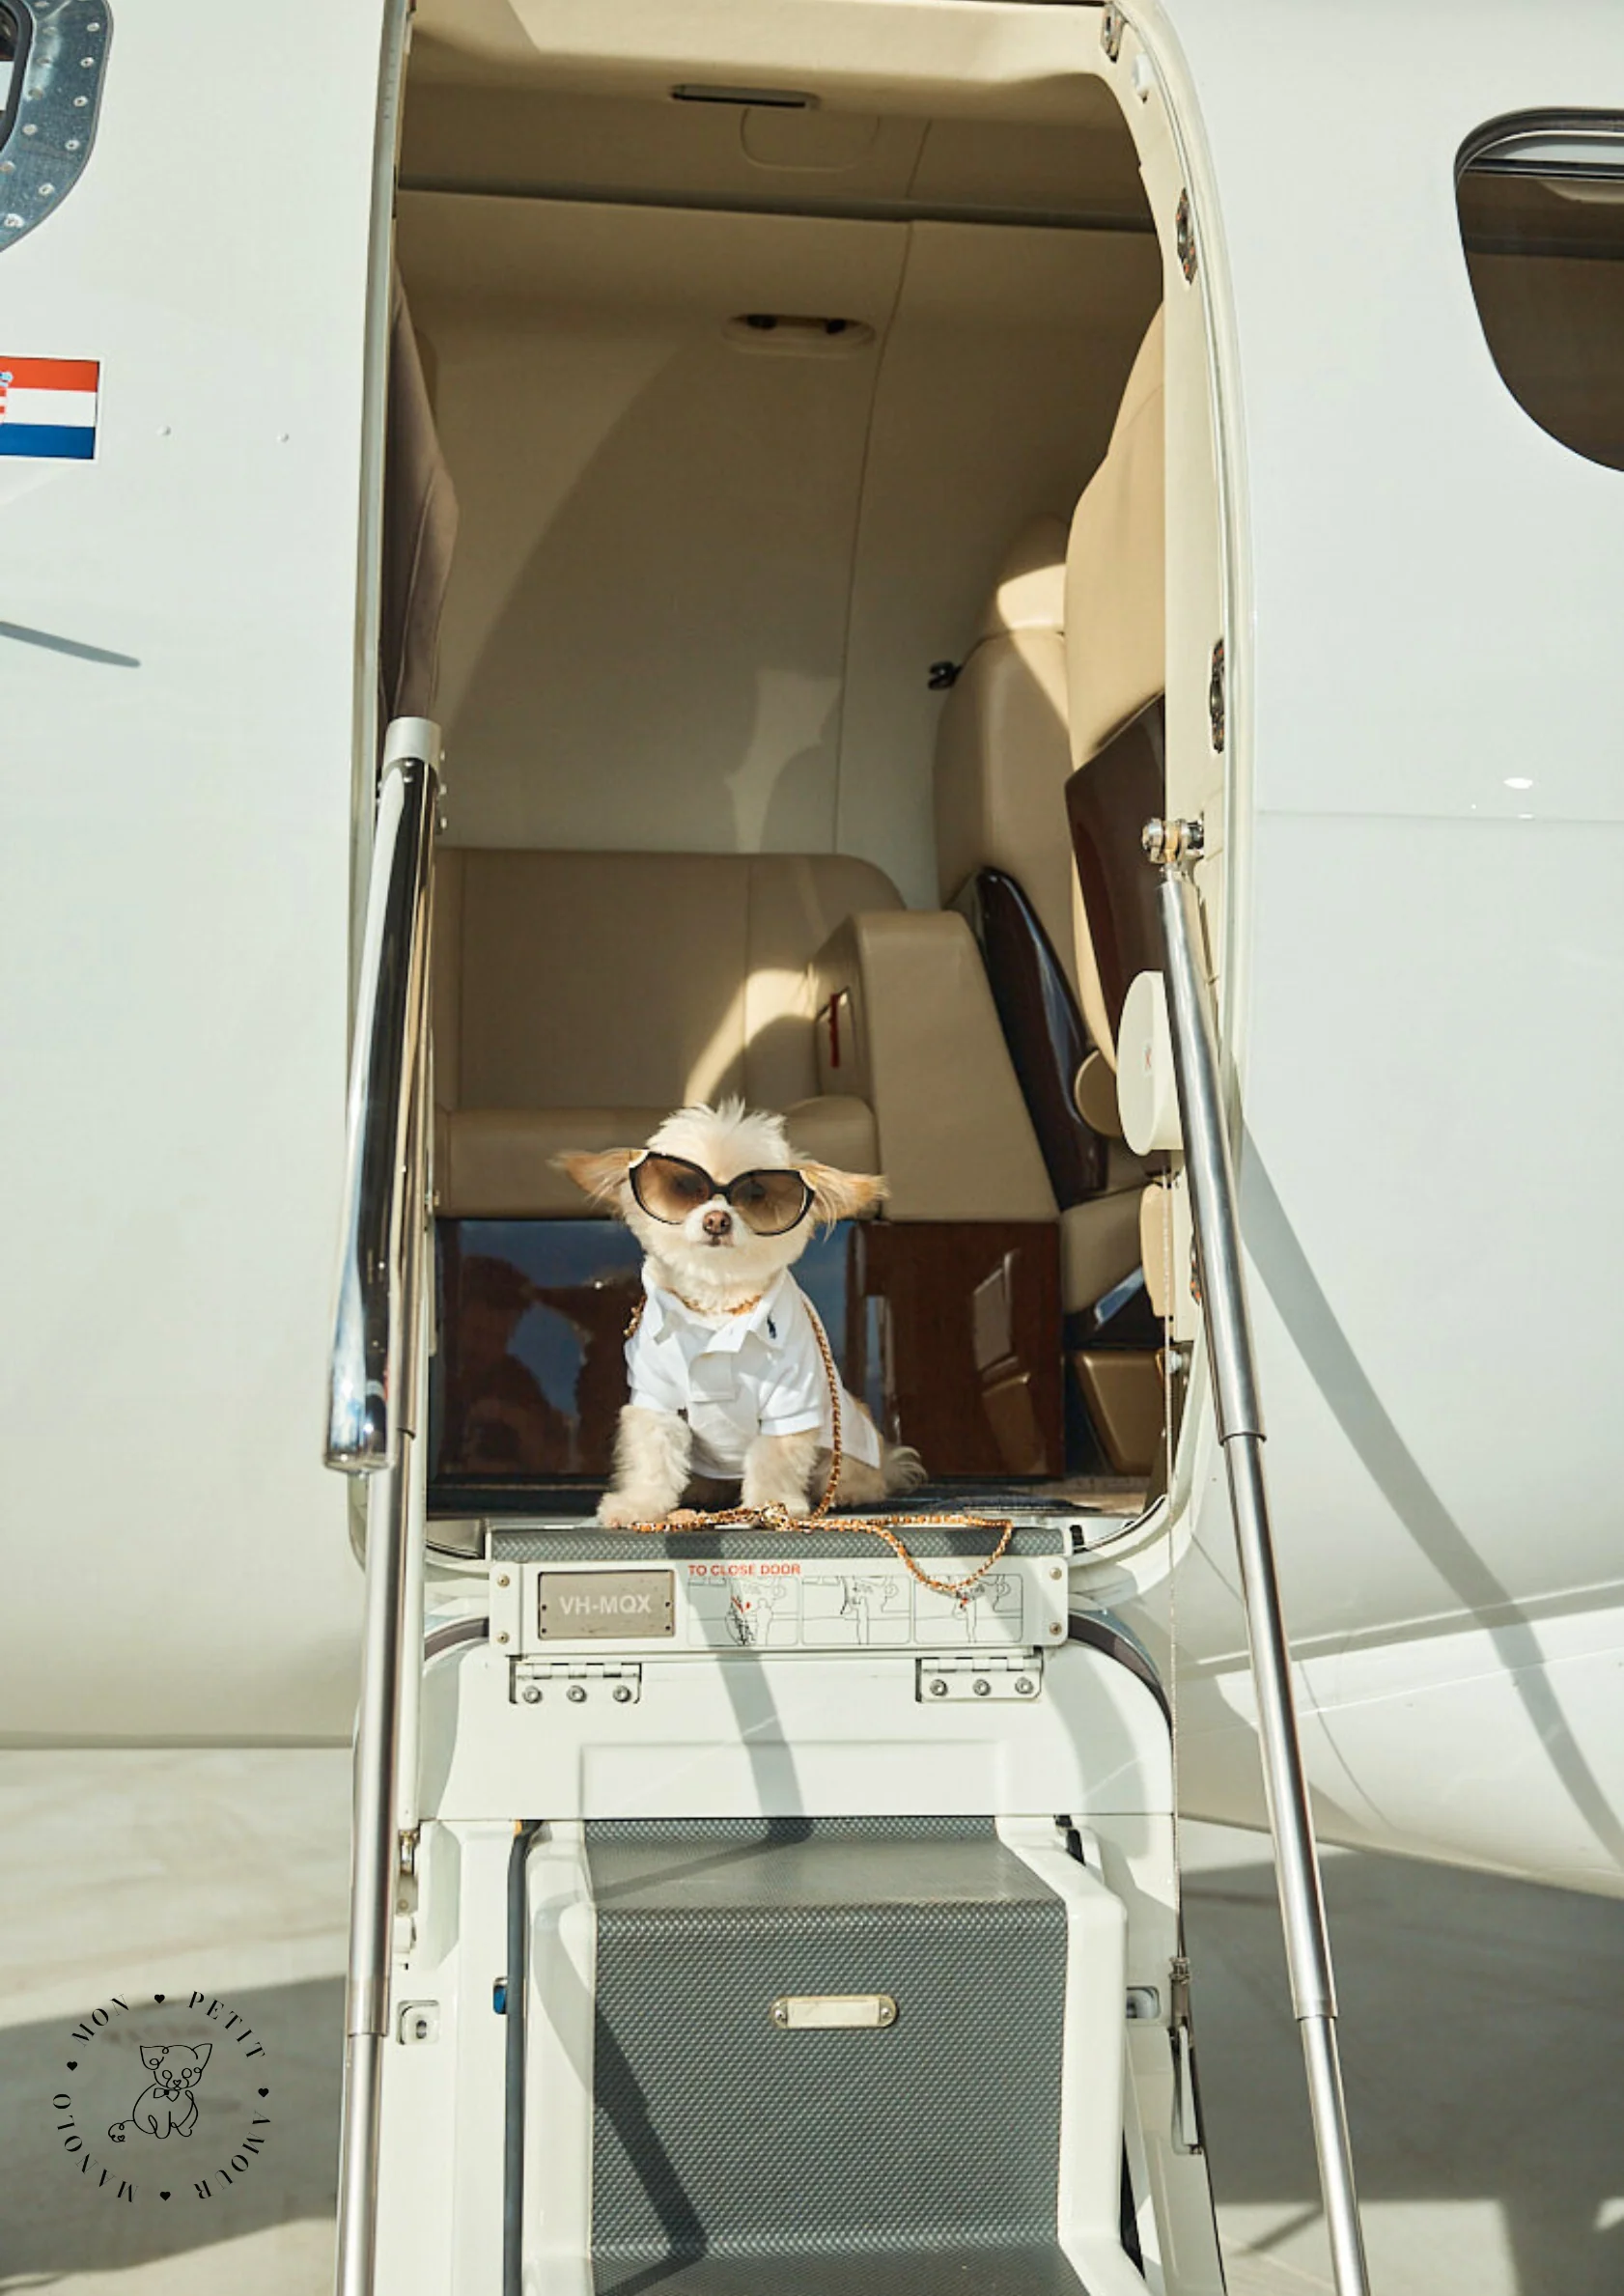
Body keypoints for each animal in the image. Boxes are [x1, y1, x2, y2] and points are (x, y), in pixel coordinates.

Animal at [558, 1097, 923, 1524]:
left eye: (758, 1194)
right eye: (683, 1186)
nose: (717, 1219)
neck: (717, 1307)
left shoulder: (791, 1401)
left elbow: (775, 1457)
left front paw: (772, 1503)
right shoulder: (655, 1396)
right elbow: (653, 1454)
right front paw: (639, 1504)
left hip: (844, 1443)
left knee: (859, 1475)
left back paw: (850, 1491)